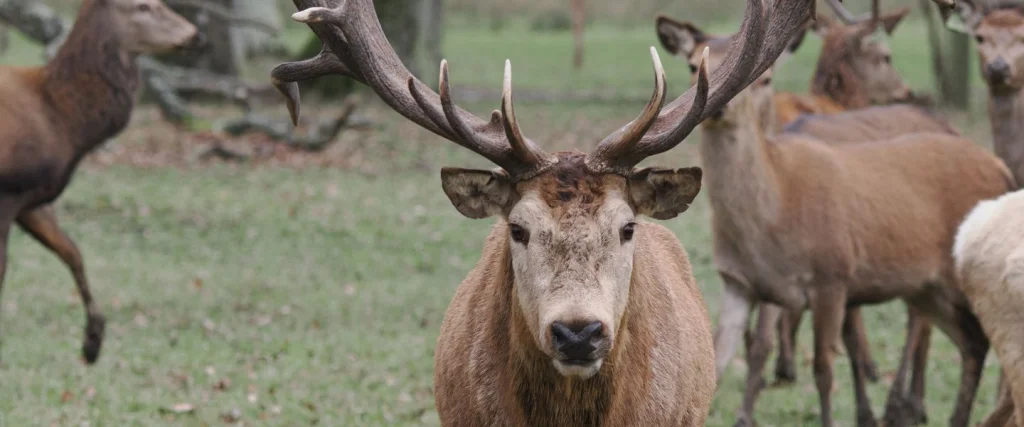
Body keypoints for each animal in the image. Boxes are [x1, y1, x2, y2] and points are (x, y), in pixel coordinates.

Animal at [0, 0, 198, 364]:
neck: (62, 122)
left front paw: (93, 341)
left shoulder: (31, 199)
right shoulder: (8, 191)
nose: (195, 34)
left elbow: (73, 252)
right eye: (143, 6)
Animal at [668, 10, 1013, 427]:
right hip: (928, 286)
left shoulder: (832, 274)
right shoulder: (738, 282)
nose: (718, 107)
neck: (774, 213)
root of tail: (1001, 168)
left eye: (763, 78)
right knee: (972, 343)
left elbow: (824, 368)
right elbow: (719, 363)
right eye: (692, 66)